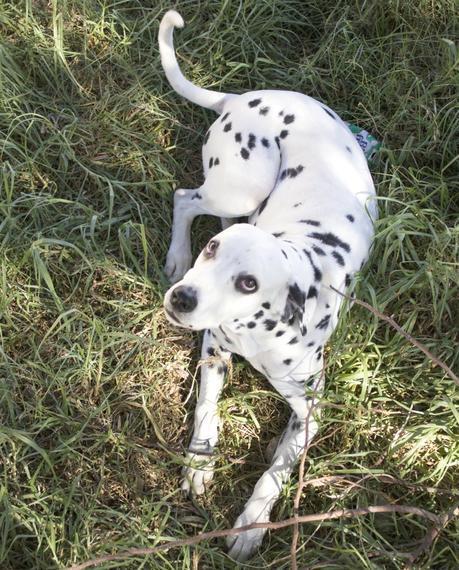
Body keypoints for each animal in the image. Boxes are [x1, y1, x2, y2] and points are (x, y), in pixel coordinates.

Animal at [158, 8, 378, 560]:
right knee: (186, 198)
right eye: (214, 253)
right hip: (240, 189)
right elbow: (206, 410)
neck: (255, 334)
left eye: (248, 283)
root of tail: (241, 97)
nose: (183, 298)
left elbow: (275, 474)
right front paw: (200, 462)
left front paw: (253, 524)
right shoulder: (214, 349)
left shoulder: (310, 411)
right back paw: (176, 255)